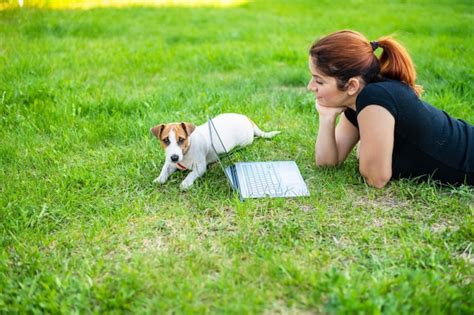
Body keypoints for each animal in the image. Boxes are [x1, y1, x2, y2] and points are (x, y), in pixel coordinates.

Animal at [150, 113, 280, 190]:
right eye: (166, 140)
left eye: (181, 139)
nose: (174, 157)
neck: (187, 151)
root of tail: (246, 118)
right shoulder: (170, 164)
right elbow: (164, 170)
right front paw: (159, 179)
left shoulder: (200, 167)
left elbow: (191, 174)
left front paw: (185, 183)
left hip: (245, 142)